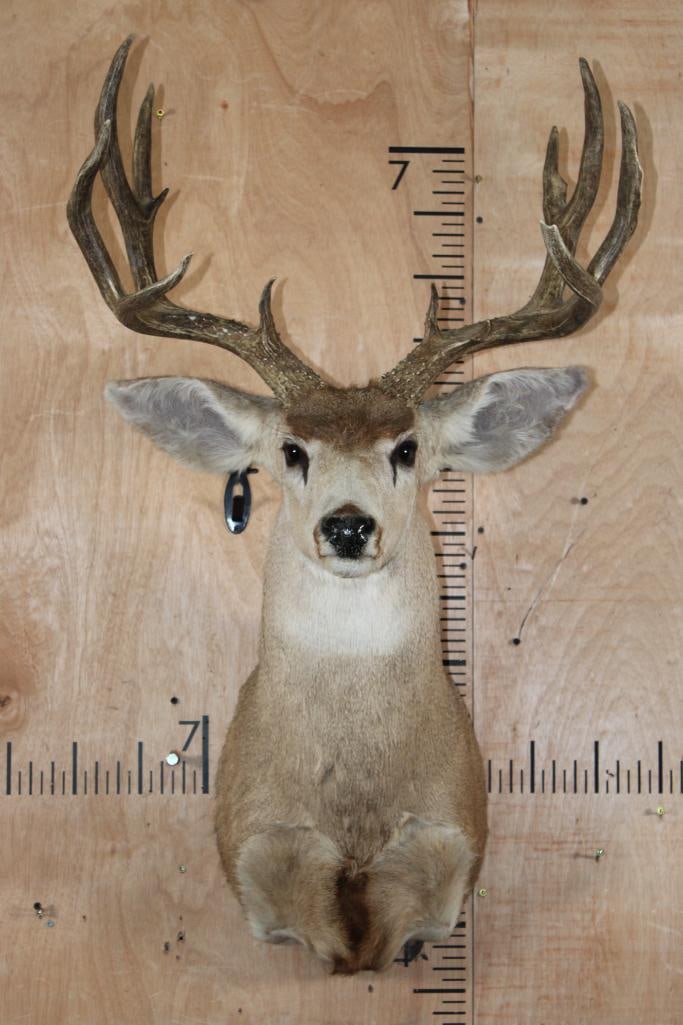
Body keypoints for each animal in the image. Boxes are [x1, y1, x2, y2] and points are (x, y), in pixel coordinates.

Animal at [67, 37, 641, 973]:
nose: (345, 524)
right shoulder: (262, 851)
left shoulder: (448, 844)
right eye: (290, 452)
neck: (356, 809)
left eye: (405, 448)